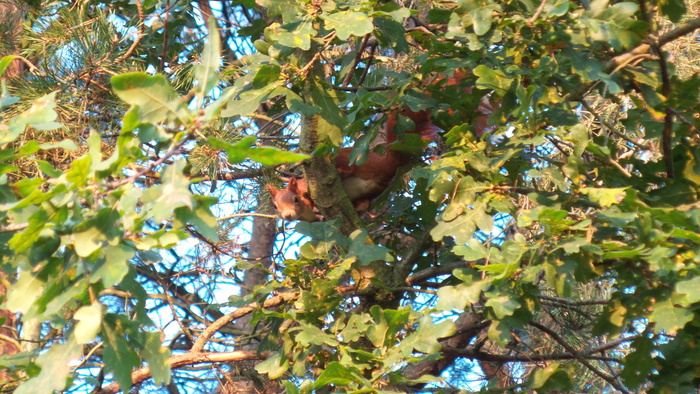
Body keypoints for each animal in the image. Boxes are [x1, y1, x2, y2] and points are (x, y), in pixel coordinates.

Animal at [266, 70, 492, 222]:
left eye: (296, 199)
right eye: (275, 206)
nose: (287, 215)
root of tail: (390, 158)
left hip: (357, 161)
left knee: (347, 168)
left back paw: (341, 172)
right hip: (375, 188)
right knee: (366, 200)